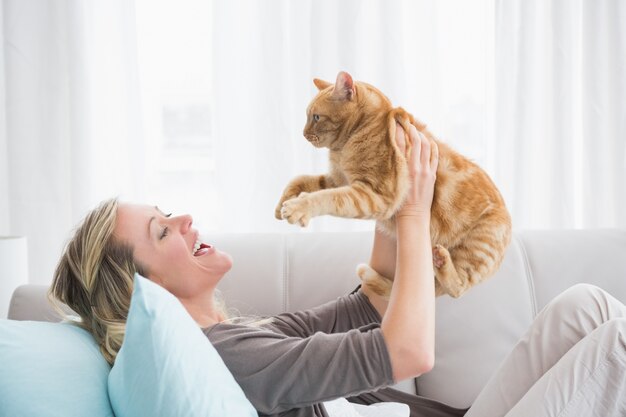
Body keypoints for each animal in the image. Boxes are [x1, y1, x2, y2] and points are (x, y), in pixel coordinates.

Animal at [276, 72, 510, 300]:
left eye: (316, 117)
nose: (303, 133)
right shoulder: (338, 180)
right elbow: (301, 180)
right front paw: (283, 203)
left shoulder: (375, 195)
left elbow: (327, 197)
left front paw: (298, 207)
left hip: (477, 249)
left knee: (457, 288)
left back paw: (442, 260)